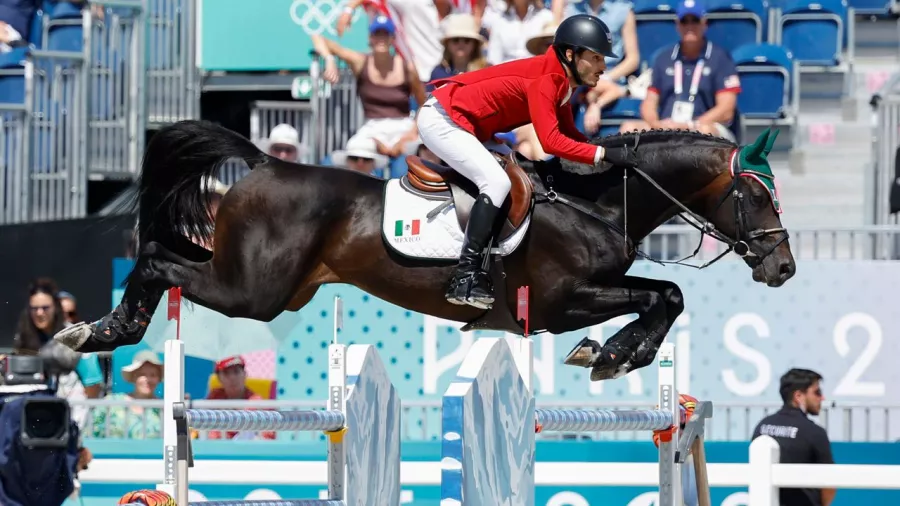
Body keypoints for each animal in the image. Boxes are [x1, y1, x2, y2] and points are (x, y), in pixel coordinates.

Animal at [54, 120, 796, 382]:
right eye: (759, 198)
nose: (784, 268)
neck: (596, 201)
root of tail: (265, 161)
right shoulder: (557, 303)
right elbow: (664, 294)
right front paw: (613, 354)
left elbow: (665, 295)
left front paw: (616, 354)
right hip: (253, 292)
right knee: (159, 260)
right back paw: (97, 331)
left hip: (272, 286)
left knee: (164, 250)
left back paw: (100, 328)